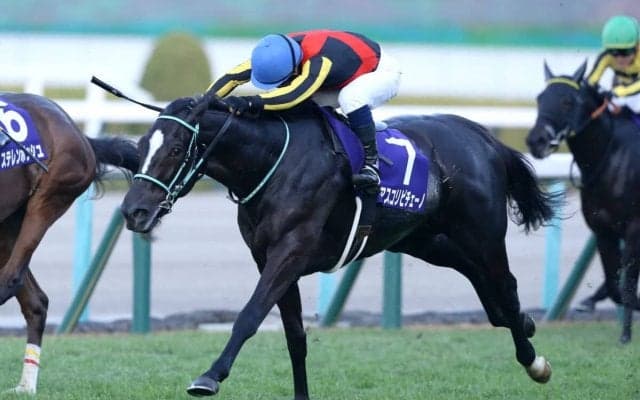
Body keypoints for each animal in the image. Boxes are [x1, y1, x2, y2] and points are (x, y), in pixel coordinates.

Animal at [0, 92, 139, 393]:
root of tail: (80, 135)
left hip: (50, 196)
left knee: (11, 280)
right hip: (7, 222)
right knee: (36, 301)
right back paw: (25, 387)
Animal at [120, 91, 556, 398]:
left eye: (176, 149)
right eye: (139, 149)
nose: (133, 211)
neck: (273, 162)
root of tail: (482, 138)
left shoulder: (290, 251)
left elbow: (250, 315)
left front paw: (210, 376)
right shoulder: (269, 258)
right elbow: (294, 336)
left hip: (482, 234)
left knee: (505, 287)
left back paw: (534, 361)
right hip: (427, 240)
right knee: (488, 289)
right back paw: (525, 323)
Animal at [526, 61, 640, 343]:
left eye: (567, 101)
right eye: (540, 98)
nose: (536, 140)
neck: (610, 156)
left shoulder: (634, 227)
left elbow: (627, 282)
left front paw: (625, 335)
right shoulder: (603, 229)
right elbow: (614, 283)